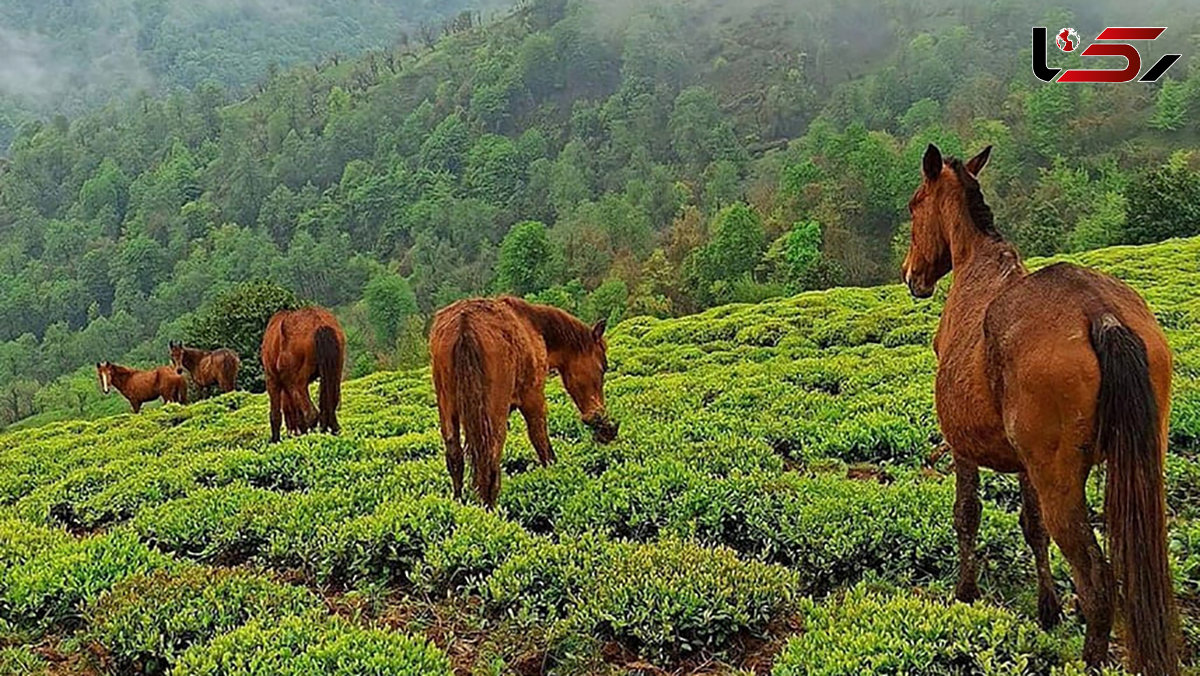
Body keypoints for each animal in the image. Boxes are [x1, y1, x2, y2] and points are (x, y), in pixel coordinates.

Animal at [258, 307, 343, 444]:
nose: (291, 432)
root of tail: (319, 323)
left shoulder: (272, 379)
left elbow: (276, 414)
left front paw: (275, 440)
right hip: (335, 373)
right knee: (329, 406)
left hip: (297, 383)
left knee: (311, 414)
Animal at [432, 296, 619, 509]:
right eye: (604, 367)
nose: (606, 431)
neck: (535, 328)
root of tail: (465, 325)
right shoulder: (533, 396)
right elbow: (541, 441)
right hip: (494, 413)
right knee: (490, 462)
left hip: (447, 406)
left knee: (455, 458)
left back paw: (460, 504)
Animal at [902, 145, 1176, 672]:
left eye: (913, 204)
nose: (911, 275)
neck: (976, 264)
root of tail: (1101, 314)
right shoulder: (1024, 461)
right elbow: (1032, 528)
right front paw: (1047, 608)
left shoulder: (962, 446)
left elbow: (967, 514)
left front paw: (965, 592)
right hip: (1139, 463)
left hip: (1060, 479)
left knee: (1097, 582)